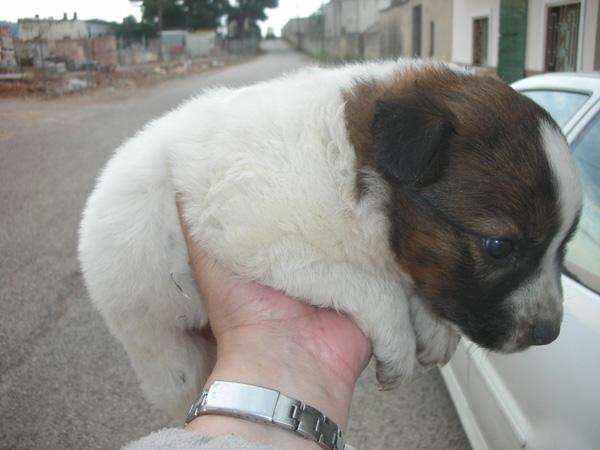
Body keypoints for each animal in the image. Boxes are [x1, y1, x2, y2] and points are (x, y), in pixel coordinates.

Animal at [78, 58, 580, 420]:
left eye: (564, 247)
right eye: (500, 248)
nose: (549, 334)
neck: (351, 165)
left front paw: (433, 326)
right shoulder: (258, 239)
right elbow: (377, 291)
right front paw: (399, 340)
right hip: (166, 354)